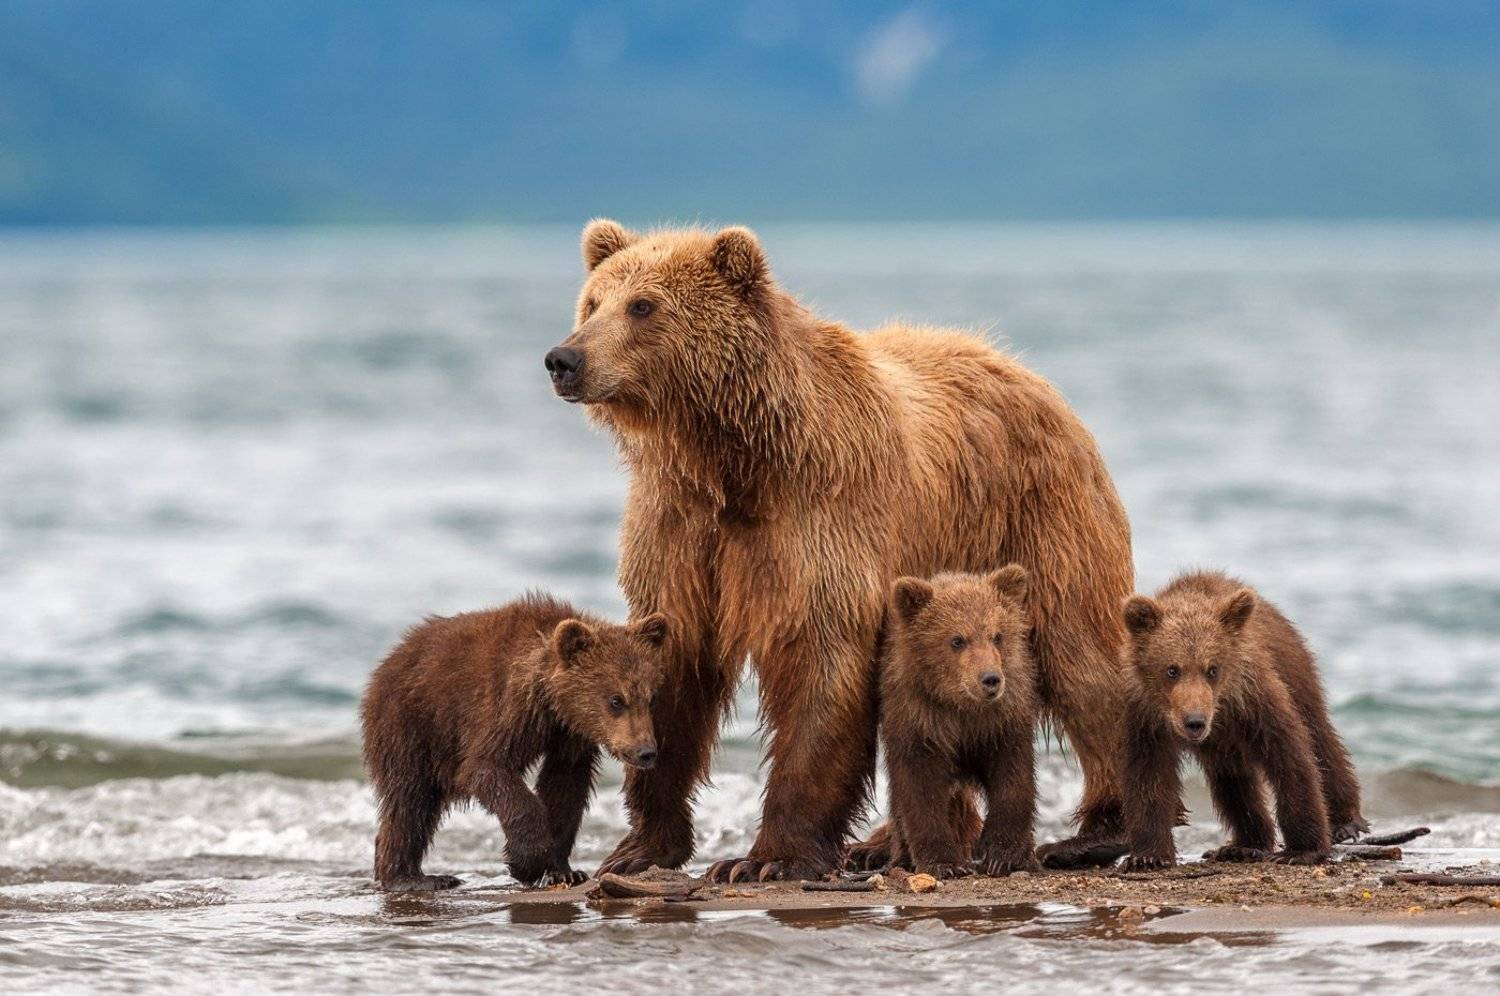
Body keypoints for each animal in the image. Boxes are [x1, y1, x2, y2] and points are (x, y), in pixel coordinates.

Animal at [359, 593, 669, 891]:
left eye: (650, 697)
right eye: (616, 700)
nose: (646, 752)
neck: (549, 700)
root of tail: (388, 661)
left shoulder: (569, 737)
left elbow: (565, 788)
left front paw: (564, 870)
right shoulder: (506, 708)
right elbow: (486, 768)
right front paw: (527, 862)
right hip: (412, 723)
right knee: (410, 800)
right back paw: (412, 877)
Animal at [878, 567, 1039, 879]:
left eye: (997, 635)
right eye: (957, 639)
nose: (990, 679)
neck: (962, 708)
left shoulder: (1002, 721)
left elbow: (1012, 777)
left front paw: (1002, 855)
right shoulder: (919, 721)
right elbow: (920, 790)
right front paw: (944, 862)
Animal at [1118, 571, 1367, 870]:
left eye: (1212, 669)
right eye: (1172, 669)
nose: (1194, 721)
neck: (1220, 708)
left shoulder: (1254, 699)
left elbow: (1291, 760)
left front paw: (1302, 849)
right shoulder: (1146, 717)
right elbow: (1149, 778)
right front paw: (1148, 855)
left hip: (1296, 672)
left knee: (1321, 739)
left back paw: (1345, 821)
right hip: (1225, 745)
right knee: (1233, 779)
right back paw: (1245, 844)